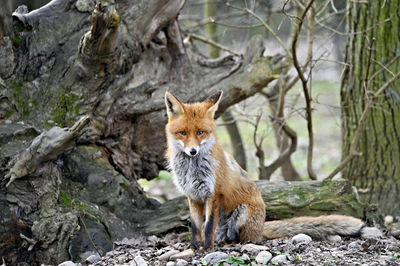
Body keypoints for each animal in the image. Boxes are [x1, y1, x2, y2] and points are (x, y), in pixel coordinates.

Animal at [163, 91, 366, 249]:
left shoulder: (213, 194)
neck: (191, 169)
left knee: (244, 238)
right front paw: (194, 247)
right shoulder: (192, 195)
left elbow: (207, 226)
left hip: (242, 214)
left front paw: (206, 249)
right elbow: (196, 226)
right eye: (182, 133)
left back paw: (230, 243)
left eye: (200, 133)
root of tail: (261, 226)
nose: (193, 151)